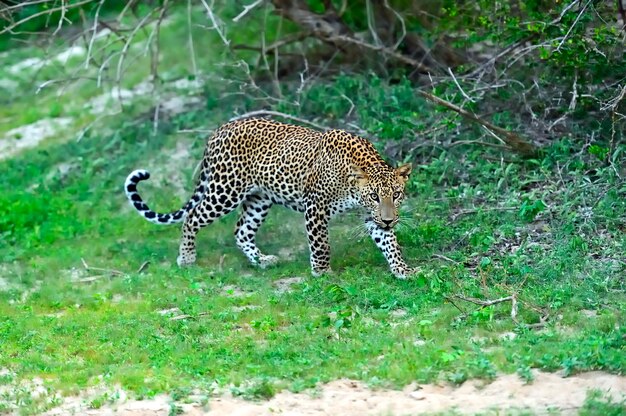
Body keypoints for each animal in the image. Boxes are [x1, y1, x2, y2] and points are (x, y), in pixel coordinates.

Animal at [123, 118, 414, 278]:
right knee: (193, 217)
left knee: (241, 231)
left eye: (396, 195)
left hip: (259, 199)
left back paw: (261, 260)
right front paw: (322, 273)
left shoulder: (372, 217)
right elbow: (321, 245)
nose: (389, 219)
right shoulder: (315, 207)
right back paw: (186, 258)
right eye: (374, 196)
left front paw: (403, 270)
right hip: (224, 190)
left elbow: (389, 243)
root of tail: (219, 130)